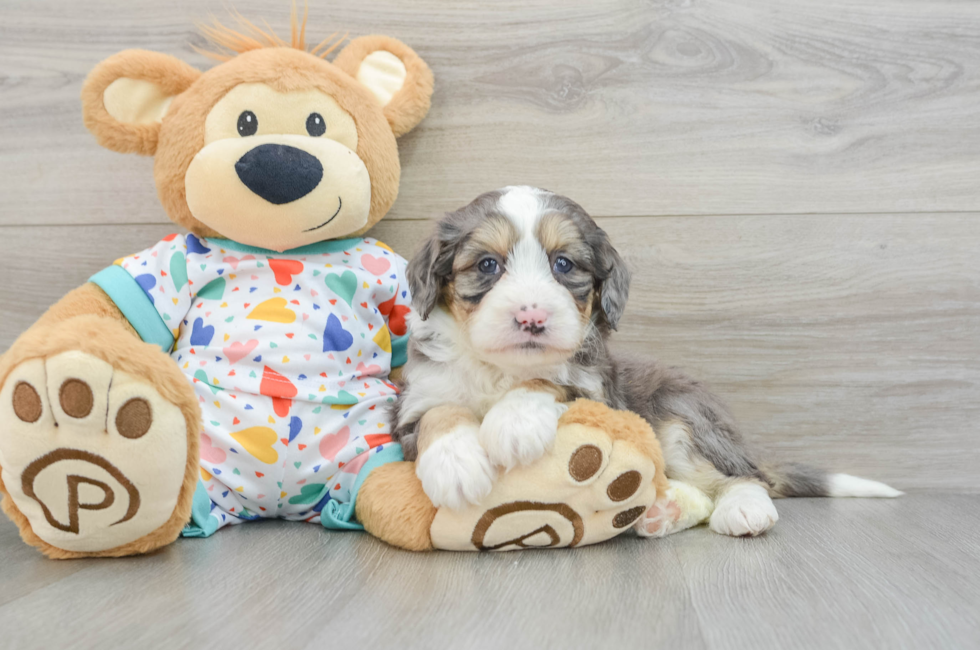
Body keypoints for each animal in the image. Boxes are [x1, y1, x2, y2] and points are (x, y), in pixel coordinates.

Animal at [388, 185, 896, 536]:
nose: (532, 317)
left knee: (738, 477)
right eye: (487, 265)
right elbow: (441, 412)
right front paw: (455, 465)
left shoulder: (596, 391)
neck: (503, 370)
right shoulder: (415, 402)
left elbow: (550, 382)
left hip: (681, 421)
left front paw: (514, 423)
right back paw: (658, 513)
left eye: (564, 265)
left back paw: (743, 509)